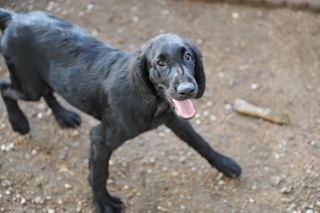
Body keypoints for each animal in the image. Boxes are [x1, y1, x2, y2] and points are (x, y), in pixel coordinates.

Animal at [0, 9, 240, 212]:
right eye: (160, 63)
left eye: (188, 56)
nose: (188, 90)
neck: (152, 101)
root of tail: (15, 16)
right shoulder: (100, 138)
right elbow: (100, 175)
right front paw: (102, 202)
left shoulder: (175, 120)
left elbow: (200, 142)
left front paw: (224, 164)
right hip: (28, 85)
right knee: (6, 87)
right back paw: (18, 121)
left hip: (38, 81)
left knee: (48, 92)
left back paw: (64, 116)